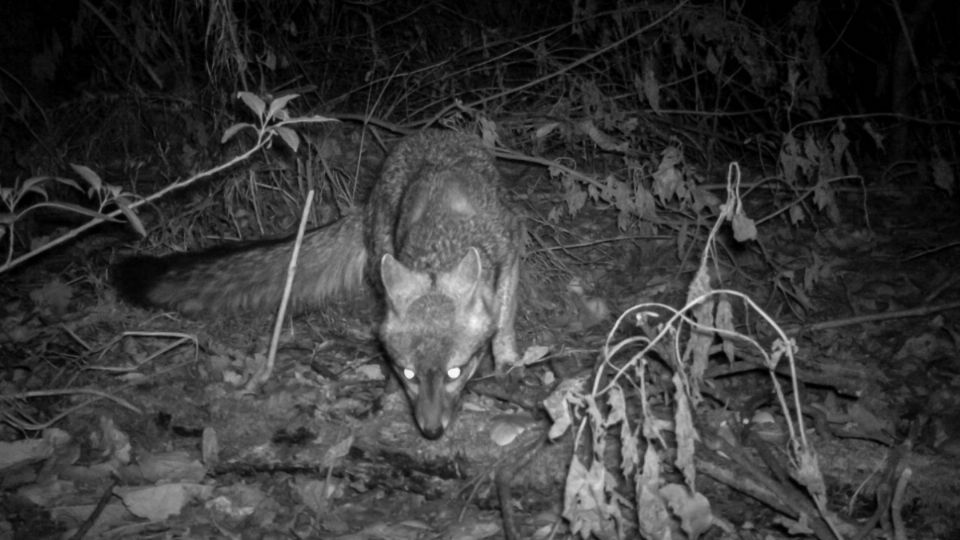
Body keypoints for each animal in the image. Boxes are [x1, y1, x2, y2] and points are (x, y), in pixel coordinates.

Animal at [116, 130, 528, 438]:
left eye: (455, 373)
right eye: (409, 374)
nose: (430, 432)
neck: (447, 233)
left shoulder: (511, 249)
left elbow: (503, 319)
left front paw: (507, 361)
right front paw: (389, 395)